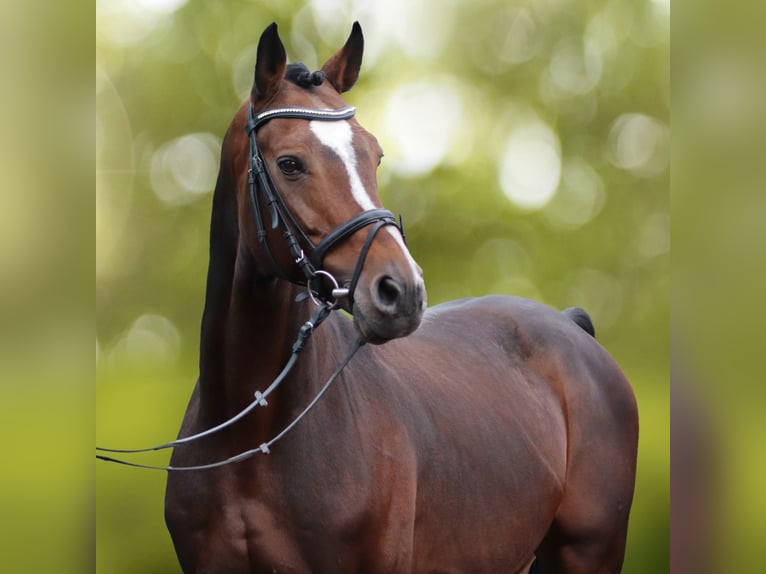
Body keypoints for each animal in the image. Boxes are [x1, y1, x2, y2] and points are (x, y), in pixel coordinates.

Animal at [161, 22, 638, 573]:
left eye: (375, 155)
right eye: (290, 163)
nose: (402, 291)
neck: (252, 437)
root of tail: (570, 325)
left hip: (590, 552)